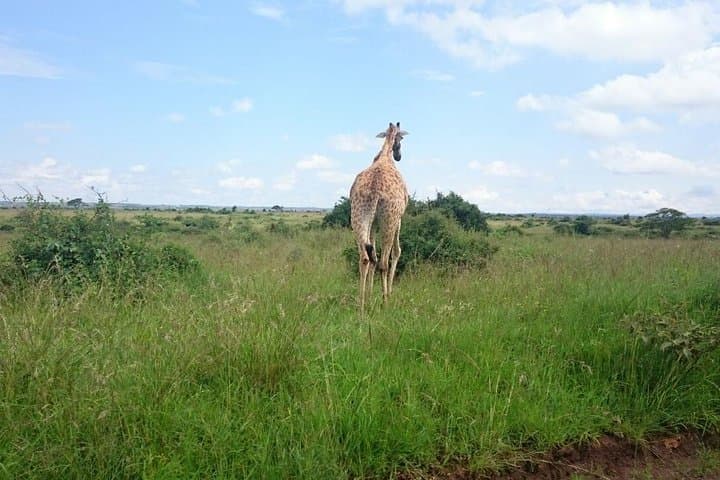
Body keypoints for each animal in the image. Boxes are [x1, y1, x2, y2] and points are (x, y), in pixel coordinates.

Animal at [349, 122, 409, 315]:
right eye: (401, 138)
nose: (399, 156)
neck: (384, 155)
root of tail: (375, 191)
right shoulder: (399, 218)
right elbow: (397, 252)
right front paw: (389, 293)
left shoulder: (373, 223)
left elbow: (373, 256)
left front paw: (369, 296)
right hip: (389, 219)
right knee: (383, 262)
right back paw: (385, 302)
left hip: (358, 216)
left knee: (365, 258)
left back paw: (361, 306)